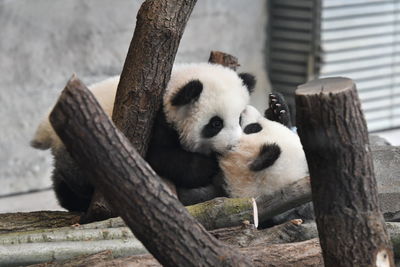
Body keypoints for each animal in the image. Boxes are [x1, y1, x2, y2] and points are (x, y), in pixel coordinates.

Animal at [32, 63, 256, 214]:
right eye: (215, 124)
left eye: (239, 118)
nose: (233, 145)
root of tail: (47, 129)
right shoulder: (153, 123)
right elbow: (160, 158)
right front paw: (208, 167)